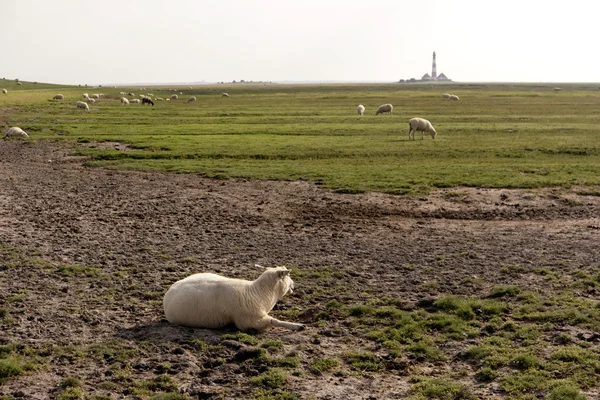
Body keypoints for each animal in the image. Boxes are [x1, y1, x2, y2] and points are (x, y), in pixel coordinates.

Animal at [163, 266, 304, 332]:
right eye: (288, 276)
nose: (294, 285)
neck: (258, 292)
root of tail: (170, 290)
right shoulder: (248, 322)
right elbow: (273, 321)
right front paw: (297, 325)